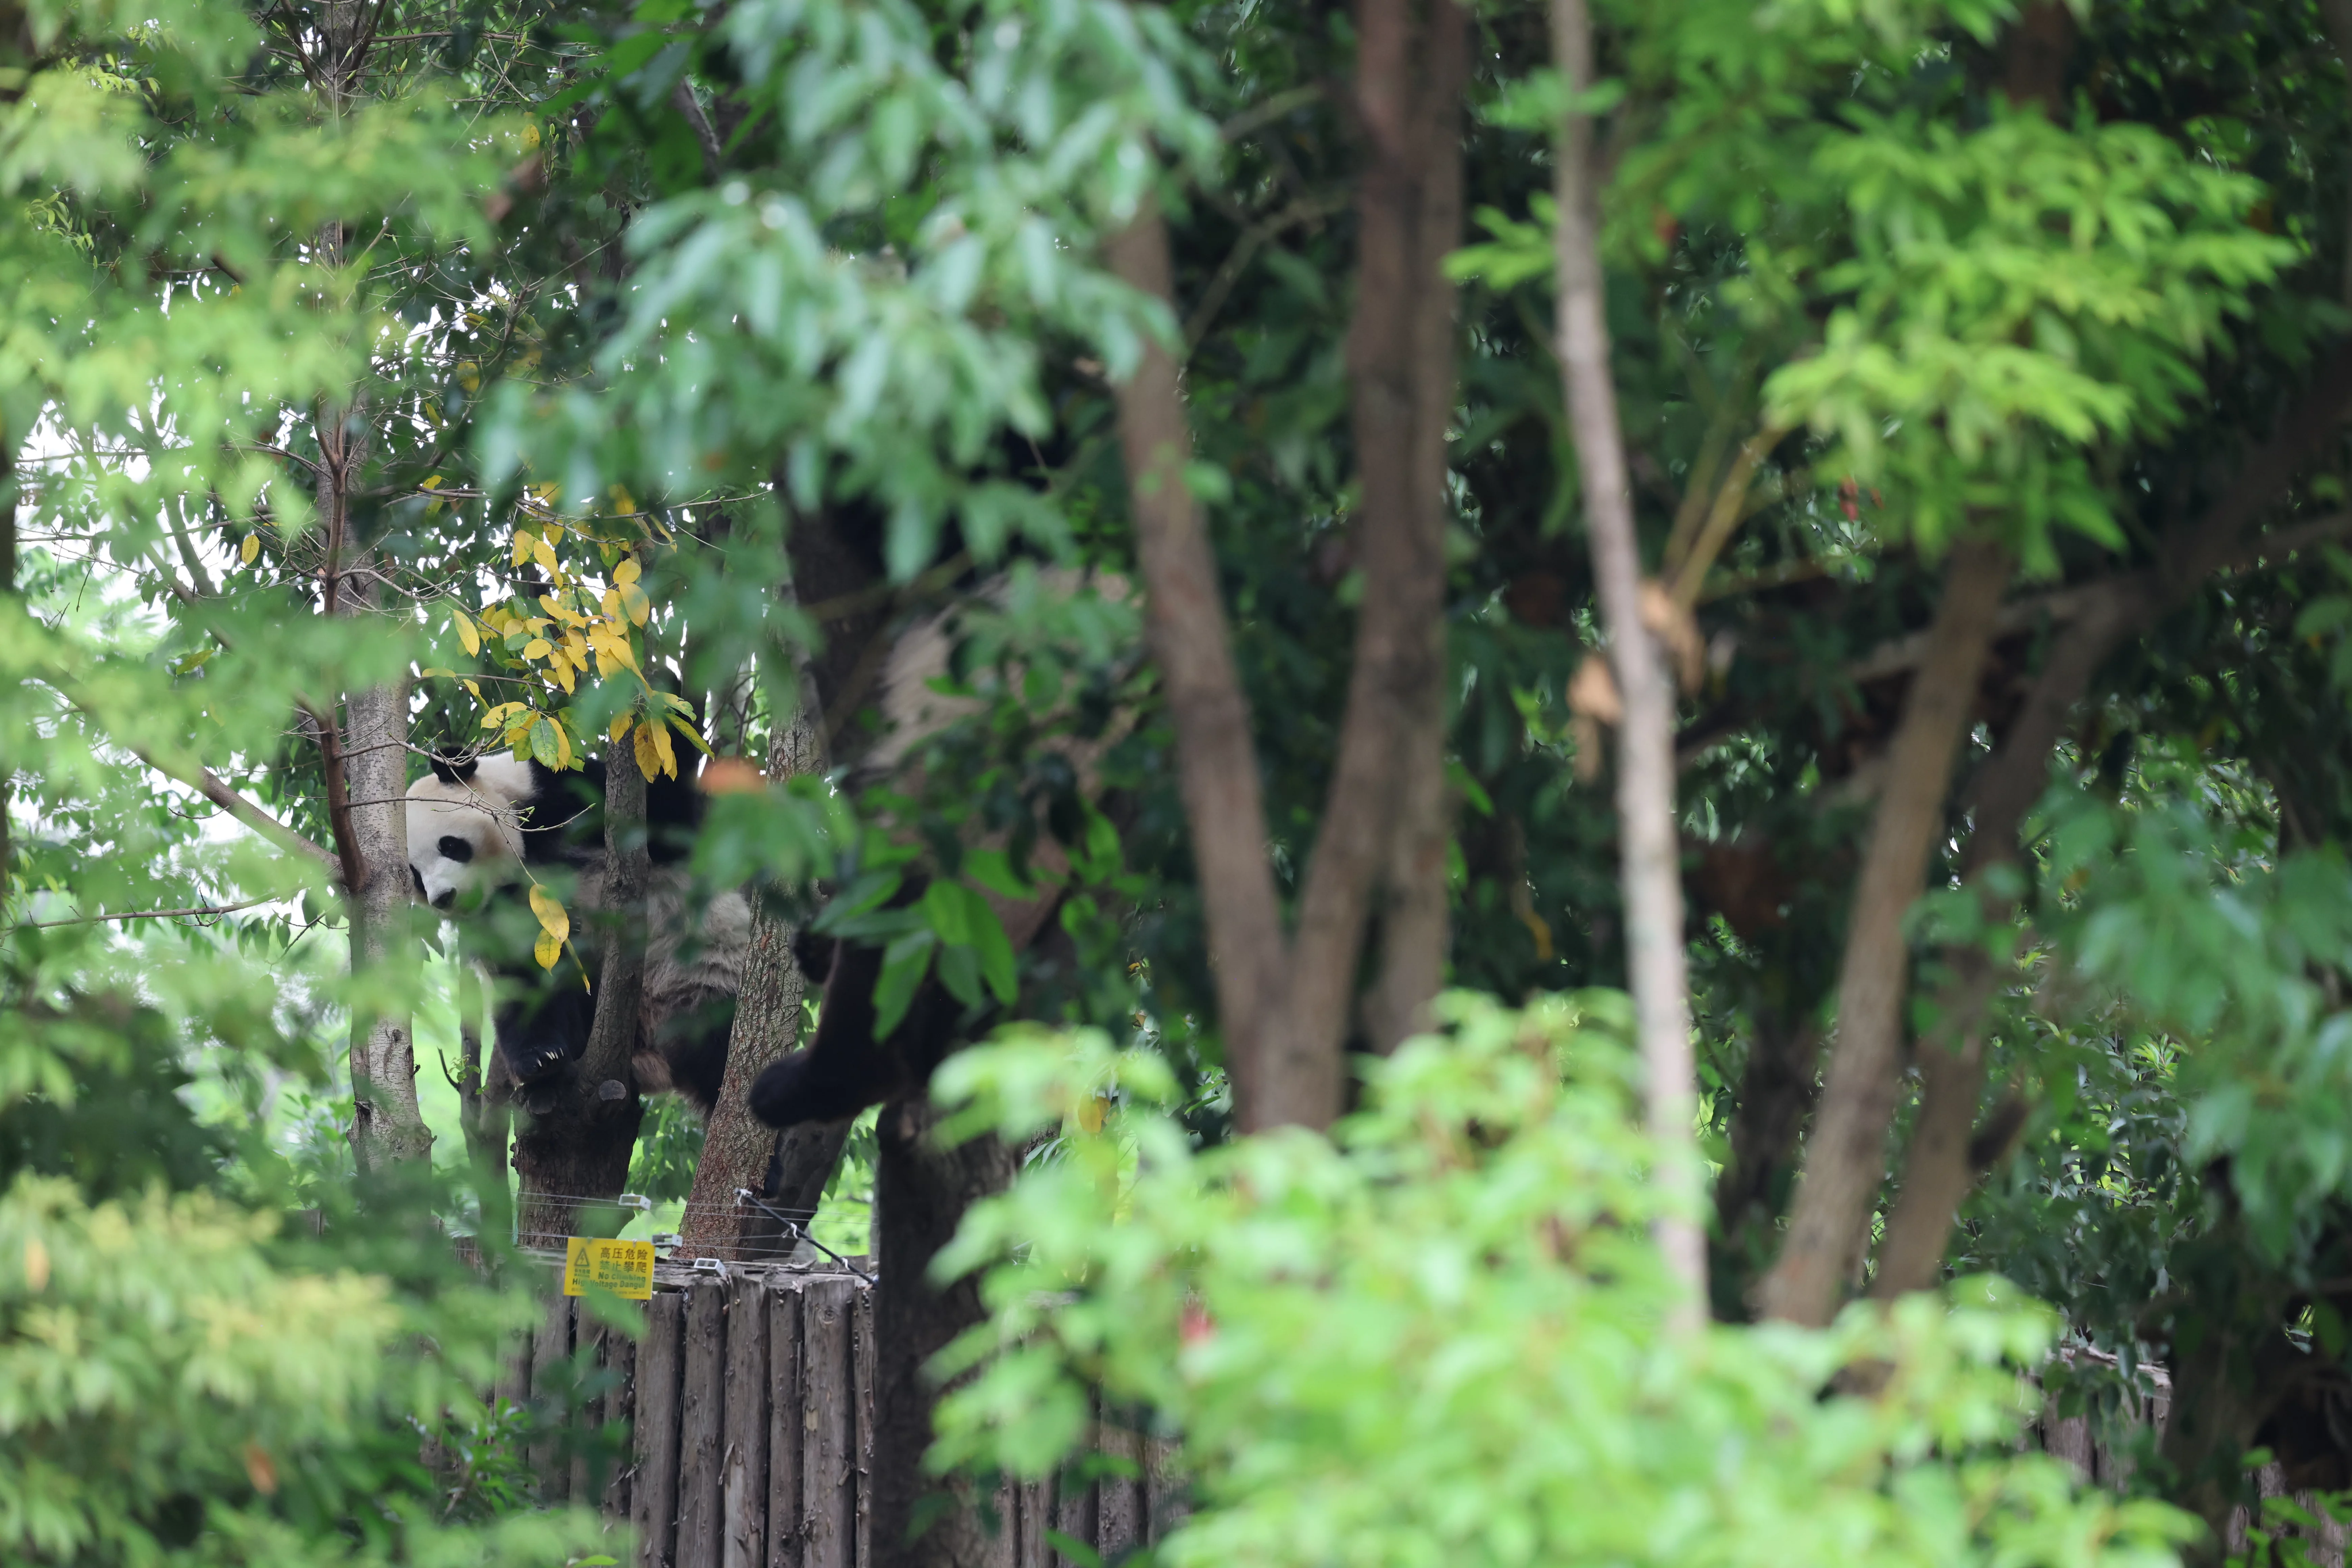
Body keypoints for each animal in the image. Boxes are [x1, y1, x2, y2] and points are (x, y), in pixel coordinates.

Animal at [405, 751, 750, 1112]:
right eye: (415, 875)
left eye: (450, 846)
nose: (443, 898)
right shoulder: (494, 917)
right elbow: (523, 971)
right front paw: (540, 1056)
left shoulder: (566, 794)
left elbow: (668, 826)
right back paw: (545, 1066)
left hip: (702, 982)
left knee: (721, 1048)